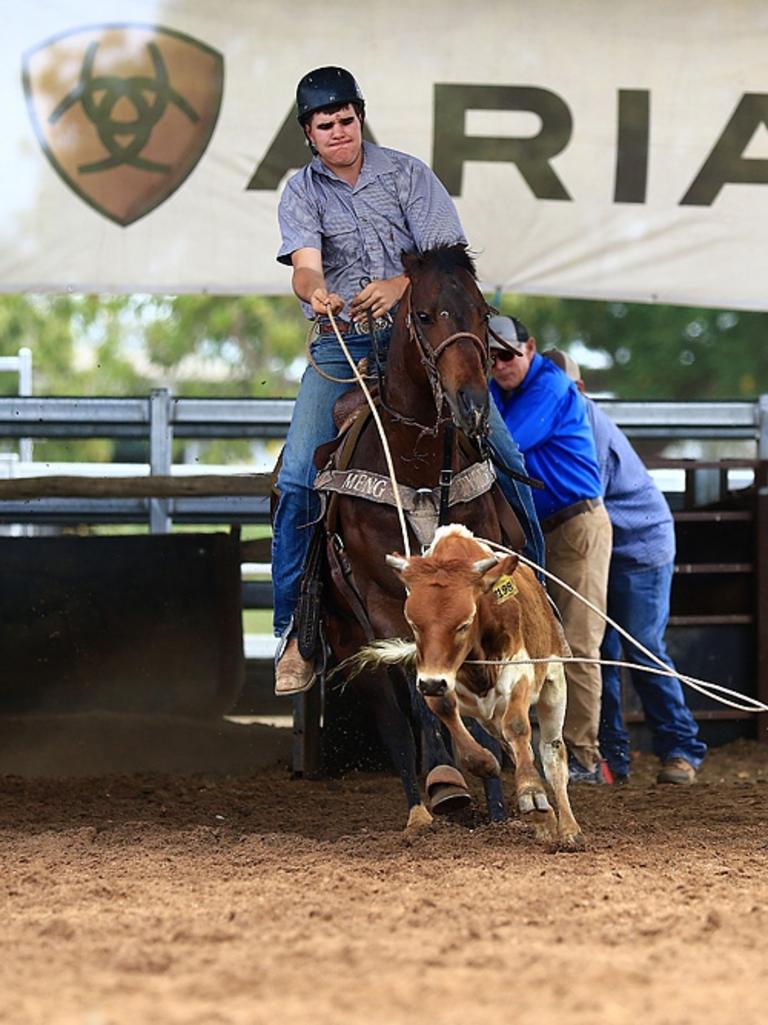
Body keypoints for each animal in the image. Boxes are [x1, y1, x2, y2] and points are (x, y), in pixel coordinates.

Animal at [313, 243, 520, 828]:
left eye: (482, 314)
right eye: (425, 315)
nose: (471, 404)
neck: (421, 463)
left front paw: (498, 799)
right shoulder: (385, 600)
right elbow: (424, 694)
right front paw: (450, 781)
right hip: (348, 638)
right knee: (395, 721)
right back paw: (421, 806)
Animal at [385, 524, 578, 844]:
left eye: (464, 623)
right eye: (413, 624)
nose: (432, 683)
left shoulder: (519, 671)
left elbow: (518, 726)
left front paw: (532, 793)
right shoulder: (437, 678)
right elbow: (445, 709)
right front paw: (486, 763)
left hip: (553, 685)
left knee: (551, 753)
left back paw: (568, 828)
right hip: (488, 716)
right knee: (512, 744)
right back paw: (545, 822)